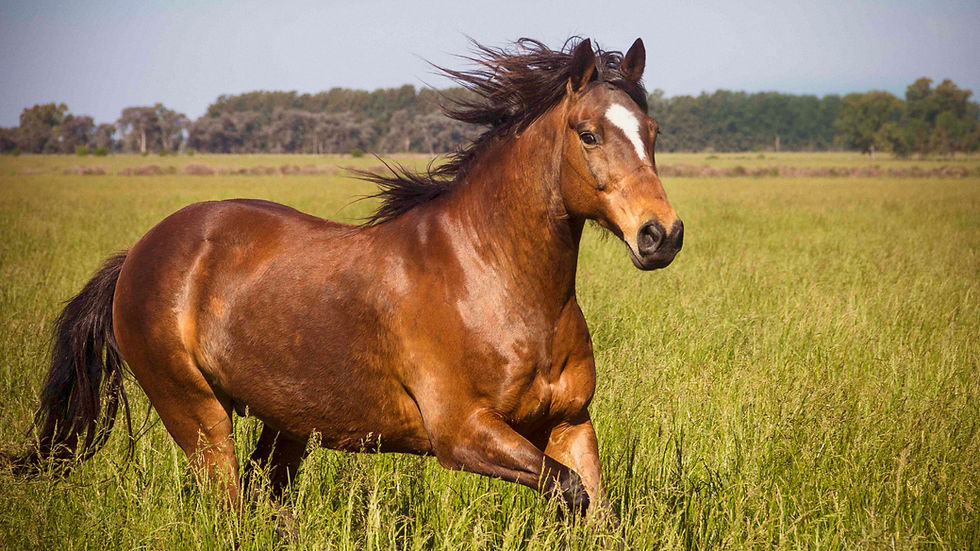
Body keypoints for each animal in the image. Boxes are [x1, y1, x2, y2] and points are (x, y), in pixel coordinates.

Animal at [9, 37, 683, 520]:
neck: (495, 282)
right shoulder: (463, 434)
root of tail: (139, 254)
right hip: (198, 417)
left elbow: (595, 507)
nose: (662, 236)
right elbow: (569, 492)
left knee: (266, 505)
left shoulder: (569, 423)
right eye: (589, 134)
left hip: (286, 424)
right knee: (231, 509)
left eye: (652, 133)